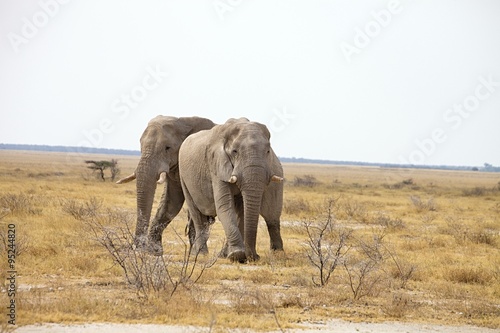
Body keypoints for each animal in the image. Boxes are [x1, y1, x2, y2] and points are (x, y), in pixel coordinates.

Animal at [116, 115, 216, 253]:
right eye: (141, 146)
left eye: (167, 148)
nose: (137, 248)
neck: (184, 122)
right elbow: (172, 202)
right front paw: (154, 251)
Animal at [178, 117, 284, 262]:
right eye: (235, 152)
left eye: (268, 152)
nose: (254, 257)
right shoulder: (217, 165)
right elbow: (224, 205)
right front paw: (237, 255)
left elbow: (242, 209)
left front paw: (236, 256)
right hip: (183, 176)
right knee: (196, 215)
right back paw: (201, 254)